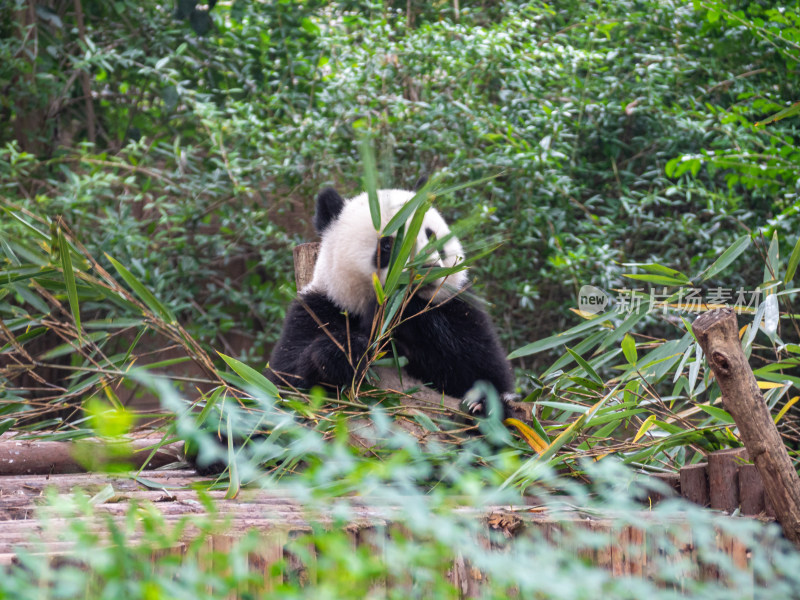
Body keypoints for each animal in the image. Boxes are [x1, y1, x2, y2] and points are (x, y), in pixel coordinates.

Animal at [266, 185, 516, 414]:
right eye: (387, 244)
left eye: (431, 236)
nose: (428, 269)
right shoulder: (319, 308)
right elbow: (285, 382)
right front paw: (346, 351)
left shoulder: (457, 304)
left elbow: (481, 368)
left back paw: (480, 409)